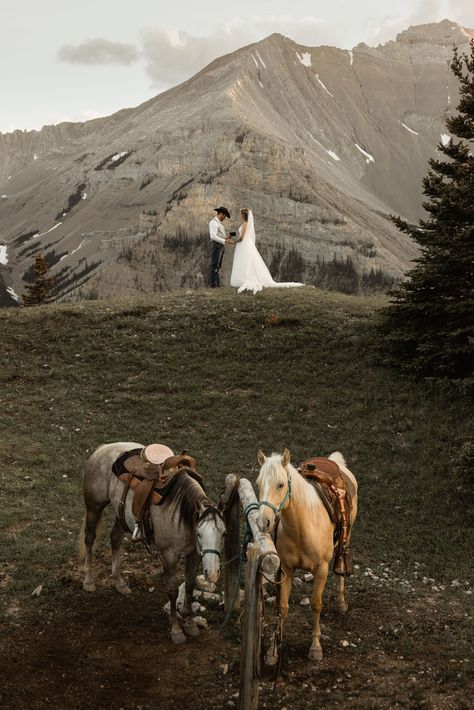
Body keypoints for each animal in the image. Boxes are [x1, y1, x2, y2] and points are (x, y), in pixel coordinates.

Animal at [78, 442, 227, 644]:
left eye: (224, 533)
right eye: (199, 533)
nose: (212, 574)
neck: (181, 511)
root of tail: (103, 448)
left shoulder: (194, 554)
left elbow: (189, 586)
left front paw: (189, 623)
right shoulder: (169, 555)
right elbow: (172, 591)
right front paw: (176, 630)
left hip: (121, 512)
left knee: (115, 538)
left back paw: (119, 582)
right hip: (94, 506)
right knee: (90, 539)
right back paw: (88, 580)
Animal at [258, 450, 358, 660]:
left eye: (281, 484)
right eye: (259, 483)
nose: (264, 522)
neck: (302, 525)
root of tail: (335, 462)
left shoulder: (321, 569)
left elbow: (316, 605)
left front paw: (316, 647)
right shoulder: (286, 569)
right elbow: (282, 606)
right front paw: (273, 649)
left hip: (346, 539)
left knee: (341, 568)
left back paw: (341, 603)